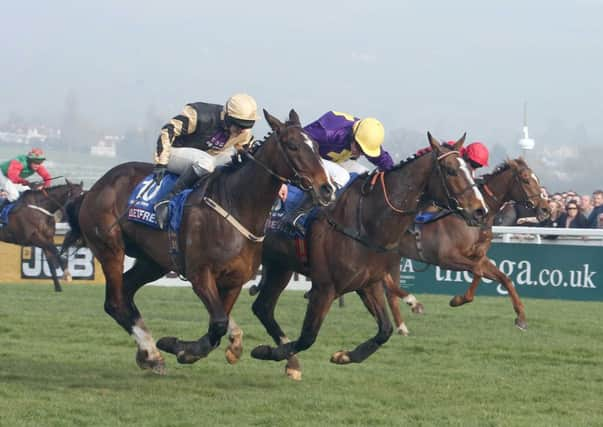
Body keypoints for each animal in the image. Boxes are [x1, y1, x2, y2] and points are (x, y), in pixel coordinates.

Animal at [63, 109, 336, 374]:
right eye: (292, 146)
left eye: (316, 146)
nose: (326, 188)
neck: (236, 205)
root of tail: (94, 188)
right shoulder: (200, 274)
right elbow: (218, 323)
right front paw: (181, 348)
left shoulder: (234, 281)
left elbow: (217, 326)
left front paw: (200, 347)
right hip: (110, 248)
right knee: (115, 302)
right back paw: (152, 352)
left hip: (152, 261)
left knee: (127, 292)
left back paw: (148, 353)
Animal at [250, 134, 490, 382]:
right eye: (451, 171)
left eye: (471, 171)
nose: (480, 211)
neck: (366, 222)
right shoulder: (324, 288)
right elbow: (308, 336)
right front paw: (266, 351)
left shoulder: (369, 283)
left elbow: (385, 330)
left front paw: (344, 356)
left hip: (280, 266)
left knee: (263, 308)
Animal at [386, 159, 552, 332]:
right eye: (526, 180)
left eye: (537, 179)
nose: (546, 209)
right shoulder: (446, 258)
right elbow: (477, 272)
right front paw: (457, 300)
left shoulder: (478, 257)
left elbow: (505, 279)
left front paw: (521, 318)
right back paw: (411, 303)